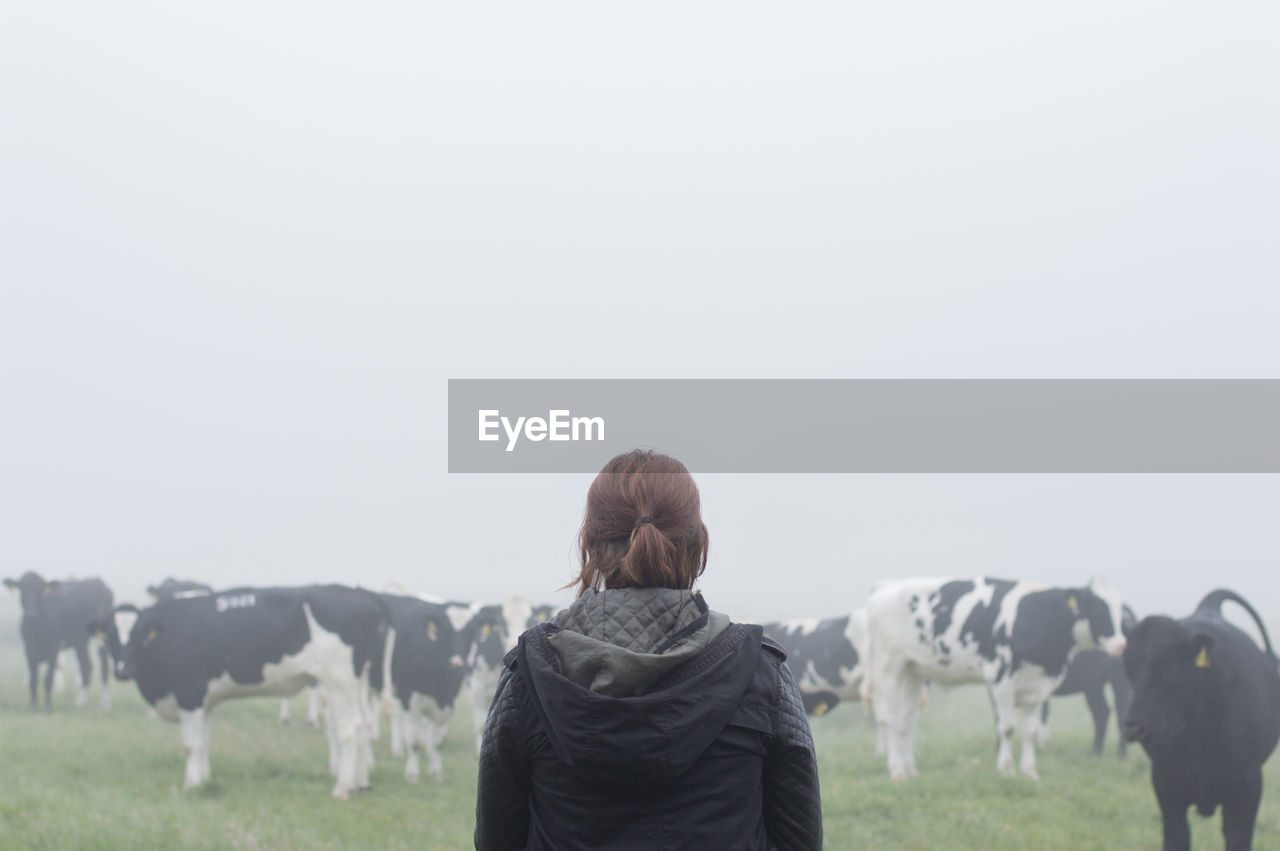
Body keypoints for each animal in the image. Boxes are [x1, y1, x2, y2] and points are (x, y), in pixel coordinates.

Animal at [5, 570, 116, 711]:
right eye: (22, 589)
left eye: (39, 590)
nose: (32, 614)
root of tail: (99, 582)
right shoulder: (28, 650)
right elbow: (33, 680)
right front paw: (32, 707)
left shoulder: (54, 650)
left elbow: (48, 680)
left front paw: (48, 708)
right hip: (80, 641)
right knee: (86, 666)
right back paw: (81, 702)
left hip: (101, 637)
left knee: (104, 668)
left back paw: (105, 704)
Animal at [93, 583, 386, 798]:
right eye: (110, 636)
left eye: (139, 634)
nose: (122, 670)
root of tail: (363, 598)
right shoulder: (204, 702)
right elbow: (204, 743)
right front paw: (204, 781)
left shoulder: (189, 695)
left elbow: (191, 745)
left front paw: (191, 784)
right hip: (358, 681)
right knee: (364, 725)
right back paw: (361, 783)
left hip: (339, 680)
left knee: (350, 729)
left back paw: (342, 788)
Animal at [865, 573, 1126, 778]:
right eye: (1097, 607)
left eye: (1120, 610)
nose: (1122, 644)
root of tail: (882, 590)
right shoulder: (1002, 678)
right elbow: (1008, 727)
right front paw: (1007, 769)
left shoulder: (1038, 685)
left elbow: (1031, 731)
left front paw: (1030, 772)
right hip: (889, 665)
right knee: (890, 717)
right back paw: (896, 771)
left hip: (914, 670)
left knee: (906, 721)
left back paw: (910, 770)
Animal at [1126, 591, 1274, 849]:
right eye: (1127, 666)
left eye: (1169, 667)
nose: (1134, 728)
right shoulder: (1166, 785)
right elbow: (1177, 838)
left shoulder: (1248, 786)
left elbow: (1237, 839)